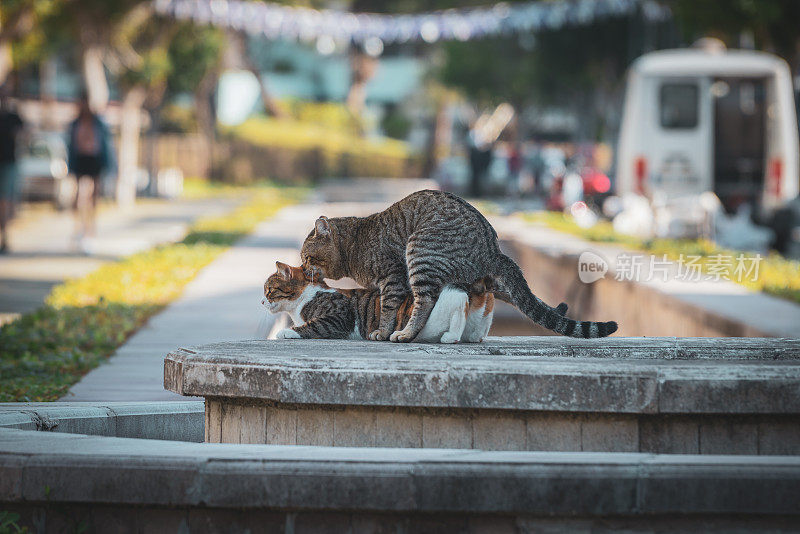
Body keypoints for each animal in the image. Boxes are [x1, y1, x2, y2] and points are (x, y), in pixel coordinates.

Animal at [262, 262, 494, 346]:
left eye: (269, 290)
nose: (262, 301)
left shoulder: (340, 316)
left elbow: (313, 325)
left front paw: (287, 331)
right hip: (486, 305)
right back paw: (475, 336)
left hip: (443, 303)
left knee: (459, 302)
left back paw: (451, 336)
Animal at [302, 191, 620, 346]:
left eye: (306, 257)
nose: (303, 268)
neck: (354, 243)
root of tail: (493, 249)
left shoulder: (392, 277)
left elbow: (389, 307)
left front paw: (383, 330)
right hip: (484, 279)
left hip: (420, 251)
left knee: (425, 301)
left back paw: (406, 334)